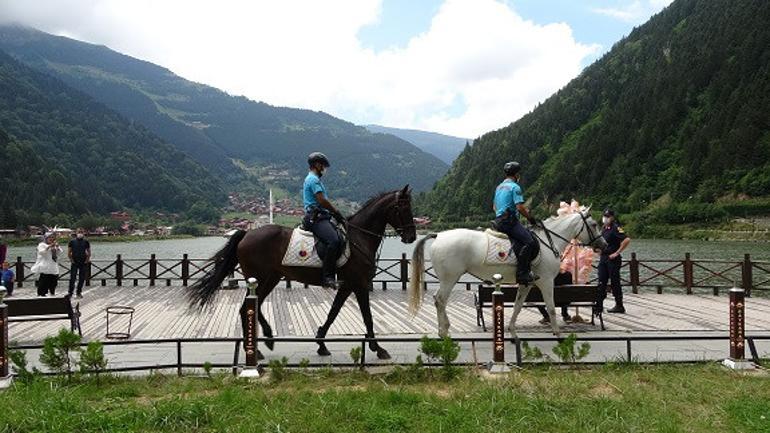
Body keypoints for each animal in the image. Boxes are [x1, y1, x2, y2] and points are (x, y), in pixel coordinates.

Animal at [188, 185, 414, 358]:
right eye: (402, 207)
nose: (411, 236)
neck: (359, 237)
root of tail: (246, 234)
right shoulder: (359, 284)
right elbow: (367, 317)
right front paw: (378, 349)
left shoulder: (347, 285)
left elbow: (333, 313)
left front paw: (321, 344)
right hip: (260, 278)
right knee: (247, 309)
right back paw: (255, 349)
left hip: (270, 278)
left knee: (254, 307)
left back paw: (267, 339)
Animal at [408, 211, 608, 336]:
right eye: (594, 224)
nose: (604, 245)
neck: (548, 241)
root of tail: (438, 235)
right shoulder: (546, 281)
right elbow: (551, 307)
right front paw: (557, 332)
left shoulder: (527, 283)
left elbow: (518, 306)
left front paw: (511, 329)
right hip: (450, 278)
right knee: (440, 300)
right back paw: (443, 330)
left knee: (439, 300)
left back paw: (443, 329)